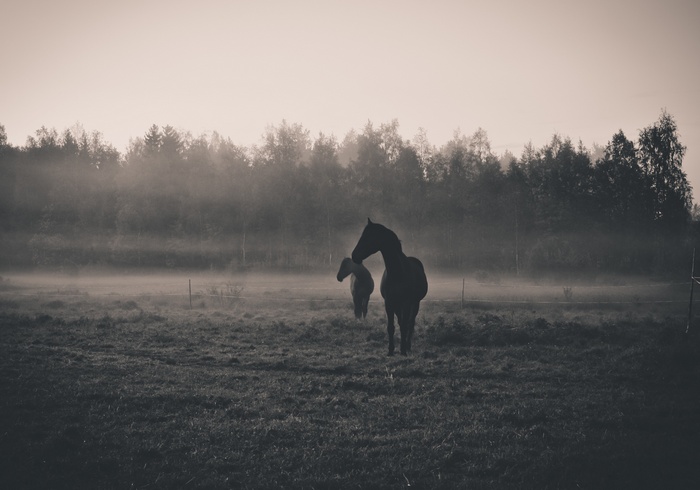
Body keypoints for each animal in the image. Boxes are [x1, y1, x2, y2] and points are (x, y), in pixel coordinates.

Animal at [351, 218, 428, 356]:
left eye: (368, 236)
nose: (354, 255)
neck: (398, 272)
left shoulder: (406, 303)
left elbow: (405, 325)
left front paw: (403, 350)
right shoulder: (389, 303)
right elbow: (391, 327)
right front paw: (391, 350)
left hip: (415, 303)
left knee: (410, 323)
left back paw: (408, 345)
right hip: (397, 305)